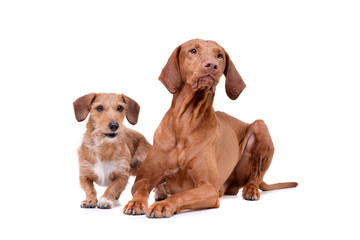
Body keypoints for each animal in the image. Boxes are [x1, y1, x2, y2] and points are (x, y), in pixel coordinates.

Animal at [124, 39, 298, 218]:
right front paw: (136, 202)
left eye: (219, 55)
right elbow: (140, 189)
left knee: (255, 175)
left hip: (260, 126)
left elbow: (182, 194)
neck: (186, 121)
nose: (212, 65)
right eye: (193, 50)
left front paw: (164, 205)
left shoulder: (208, 188)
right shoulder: (144, 178)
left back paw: (251, 189)